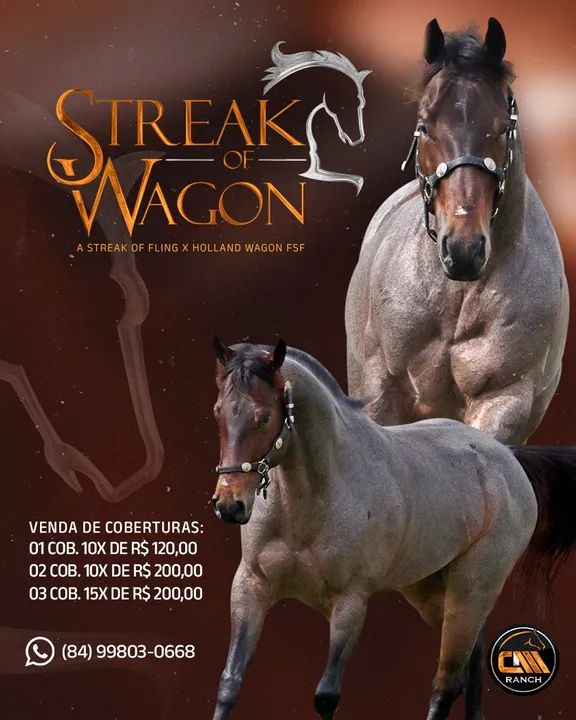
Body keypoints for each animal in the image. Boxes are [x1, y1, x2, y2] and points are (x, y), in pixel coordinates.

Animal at [210, 338, 576, 720]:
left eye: (264, 416)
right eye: (219, 411)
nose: (229, 505)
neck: (311, 504)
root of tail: (508, 457)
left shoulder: (350, 603)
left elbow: (326, 695)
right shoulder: (251, 587)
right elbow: (230, 682)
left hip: (472, 590)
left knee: (447, 680)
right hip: (429, 591)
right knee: (472, 658)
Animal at [345, 18, 568, 443]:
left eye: (502, 128)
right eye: (425, 126)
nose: (463, 250)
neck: (456, 301)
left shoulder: (502, 400)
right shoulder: (382, 393)